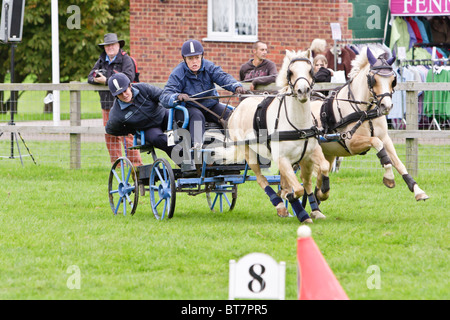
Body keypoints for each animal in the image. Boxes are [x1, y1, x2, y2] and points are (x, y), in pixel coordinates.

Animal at [214, 50, 330, 224]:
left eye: (311, 71)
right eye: (291, 72)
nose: (303, 91)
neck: (297, 124)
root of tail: (236, 109)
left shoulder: (311, 152)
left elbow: (323, 168)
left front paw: (322, 193)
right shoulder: (282, 159)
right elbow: (297, 189)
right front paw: (292, 200)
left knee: (305, 180)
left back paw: (312, 210)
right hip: (248, 152)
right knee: (261, 179)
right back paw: (281, 206)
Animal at [312, 47, 428, 202]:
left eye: (393, 80)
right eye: (374, 79)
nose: (386, 106)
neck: (366, 113)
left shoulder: (385, 138)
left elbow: (399, 163)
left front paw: (417, 190)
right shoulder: (351, 143)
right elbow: (377, 143)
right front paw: (389, 177)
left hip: (328, 154)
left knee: (320, 176)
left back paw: (319, 196)